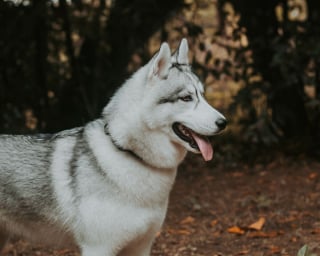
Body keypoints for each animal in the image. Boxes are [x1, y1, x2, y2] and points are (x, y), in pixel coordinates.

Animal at [0, 39, 225, 255]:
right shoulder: (98, 248)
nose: (224, 123)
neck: (130, 154)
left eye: (202, 96)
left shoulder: (141, 247)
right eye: (186, 98)